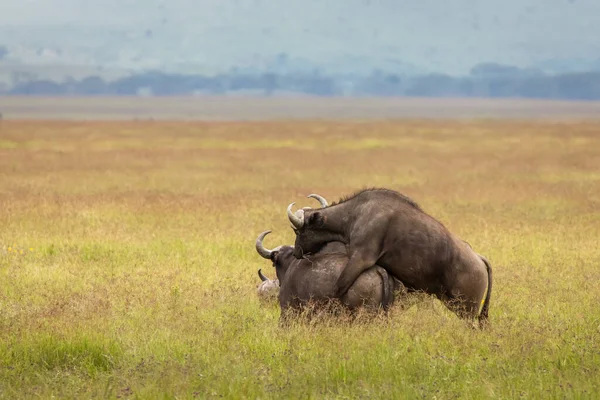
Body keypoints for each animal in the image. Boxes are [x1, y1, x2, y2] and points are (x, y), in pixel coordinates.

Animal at [286, 190, 492, 328]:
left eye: (298, 230)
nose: (296, 253)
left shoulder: (359, 259)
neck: (356, 214)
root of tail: (479, 259)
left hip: (465, 309)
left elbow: (338, 288)